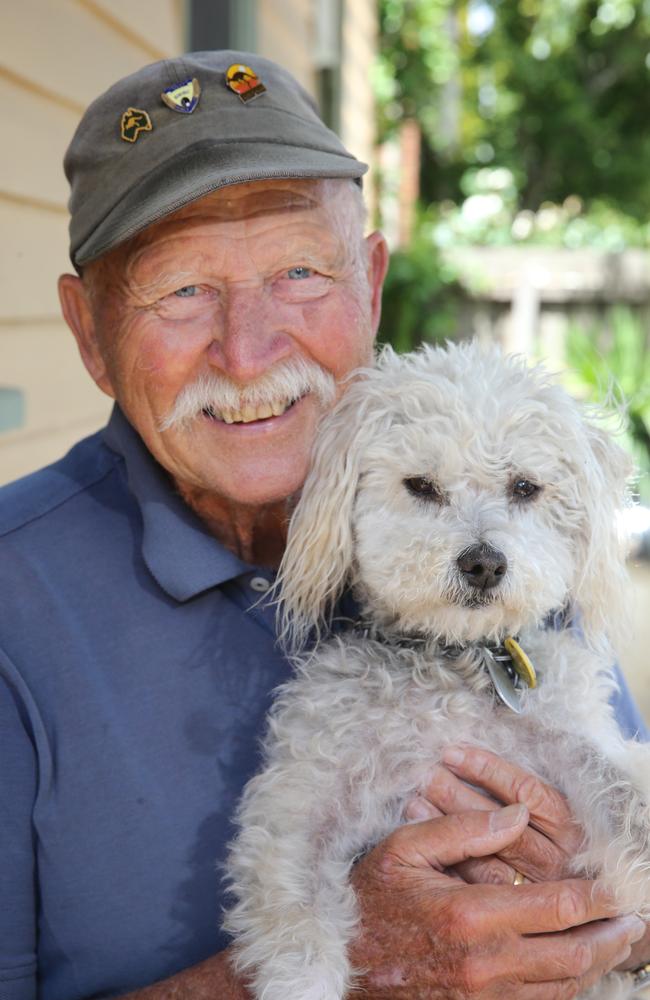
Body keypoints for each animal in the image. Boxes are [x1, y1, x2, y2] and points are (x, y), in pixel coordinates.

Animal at [224, 340, 648, 996]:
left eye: (525, 487)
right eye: (421, 486)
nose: (484, 564)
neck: (455, 664)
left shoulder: (575, 743)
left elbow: (628, 796)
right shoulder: (299, 809)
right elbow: (294, 914)